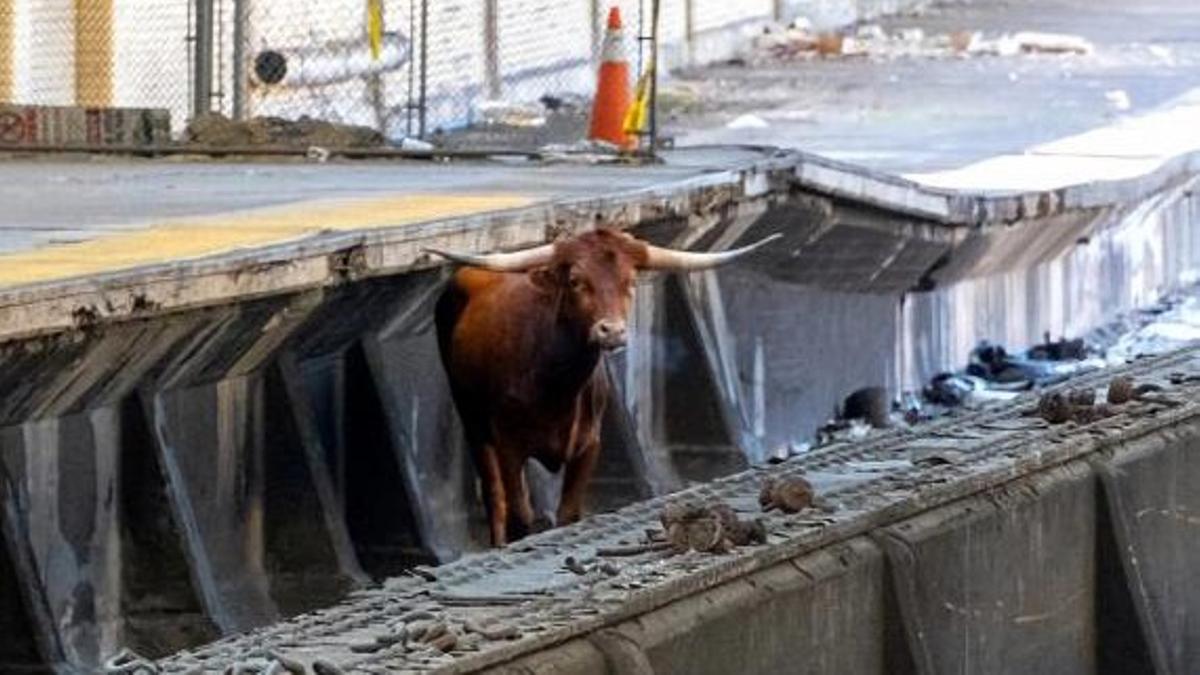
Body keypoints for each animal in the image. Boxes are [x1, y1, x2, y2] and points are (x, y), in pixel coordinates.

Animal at [432, 228, 777, 542]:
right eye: (575, 280)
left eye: (631, 281)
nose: (611, 331)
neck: (554, 385)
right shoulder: (509, 445)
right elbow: (520, 516)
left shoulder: (588, 445)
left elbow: (569, 514)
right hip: (473, 423)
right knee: (495, 498)